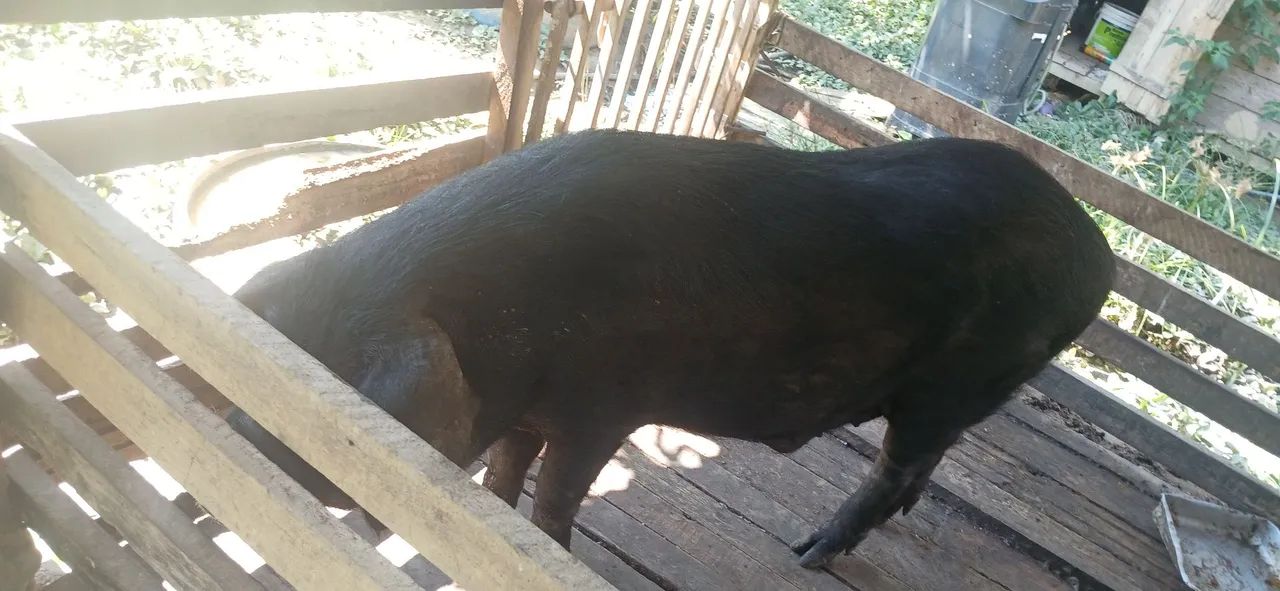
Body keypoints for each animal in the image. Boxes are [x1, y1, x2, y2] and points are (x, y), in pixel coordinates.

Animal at [225, 129, 1114, 568]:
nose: (239, 426)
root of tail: (1097, 256)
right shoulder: (529, 409)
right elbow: (504, 478)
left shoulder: (603, 407)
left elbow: (554, 499)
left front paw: (545, 549)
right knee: (923, 466)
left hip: (957, 381)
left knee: (896, 464)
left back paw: (806, 556)